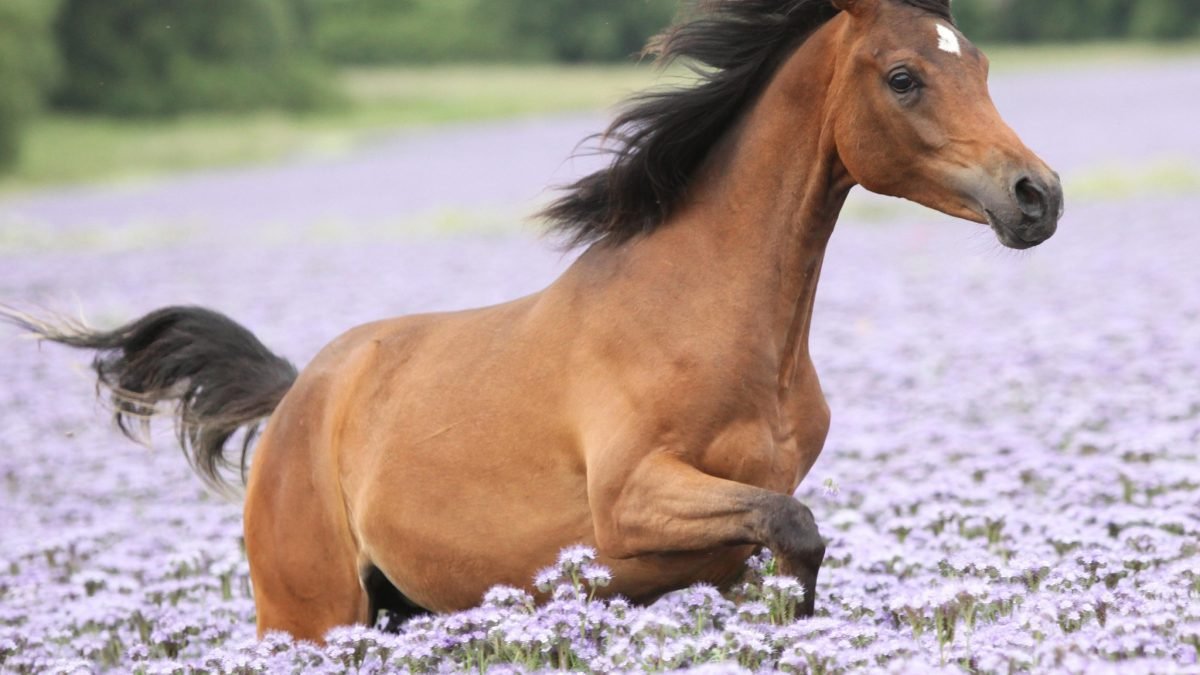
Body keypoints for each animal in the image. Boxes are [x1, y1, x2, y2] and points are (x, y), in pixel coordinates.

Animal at [3, 0, 1062, 643]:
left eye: (984, 65)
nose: (1037, 195)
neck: (707, 316)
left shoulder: (724, 543)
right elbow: (795, 528)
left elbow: (790, 548)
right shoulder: (631, 506)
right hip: (307, 612)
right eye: (903, 77)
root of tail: (303, 390)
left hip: (400, 609)